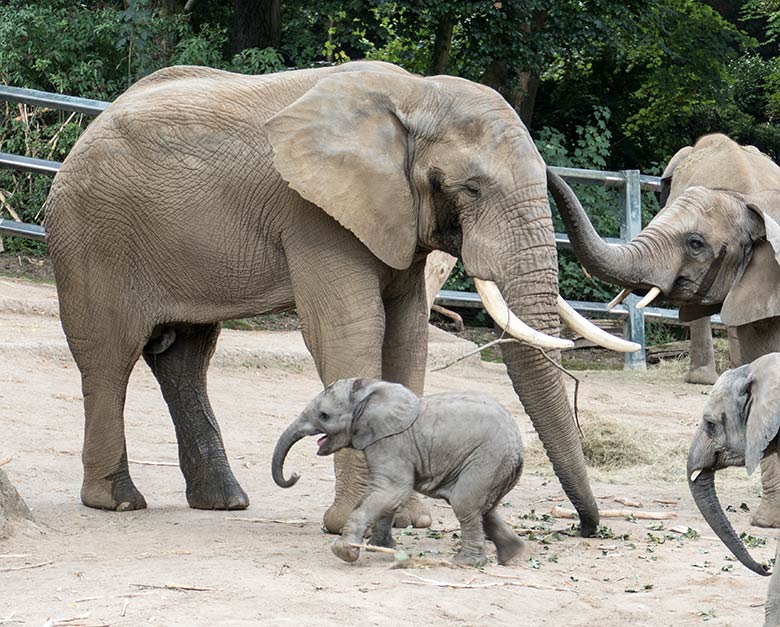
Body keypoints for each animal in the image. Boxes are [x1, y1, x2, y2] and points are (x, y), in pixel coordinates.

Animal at [44, 60, 632, 536]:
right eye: (471, 188)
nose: (584, 527)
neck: (416, 94)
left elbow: (407, 335)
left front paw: (408, 520)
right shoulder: (313, 213)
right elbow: (350, 329)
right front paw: (354, 521)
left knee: (185, 358)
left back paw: (225, 503)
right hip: (91, 238)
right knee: (110, 357)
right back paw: (118, 502)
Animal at [272, 378, 528, 568]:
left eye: (324, 415)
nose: (294, 475)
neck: (370, 391)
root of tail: (518, 449)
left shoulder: (391, 442)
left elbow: (391, 491)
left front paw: (343, 551)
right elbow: (388, 497)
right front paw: (379, 547)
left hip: (486, 459)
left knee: (464, 503)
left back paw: (465, 563)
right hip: (494, 467)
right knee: (485, 509)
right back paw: (513, 555)